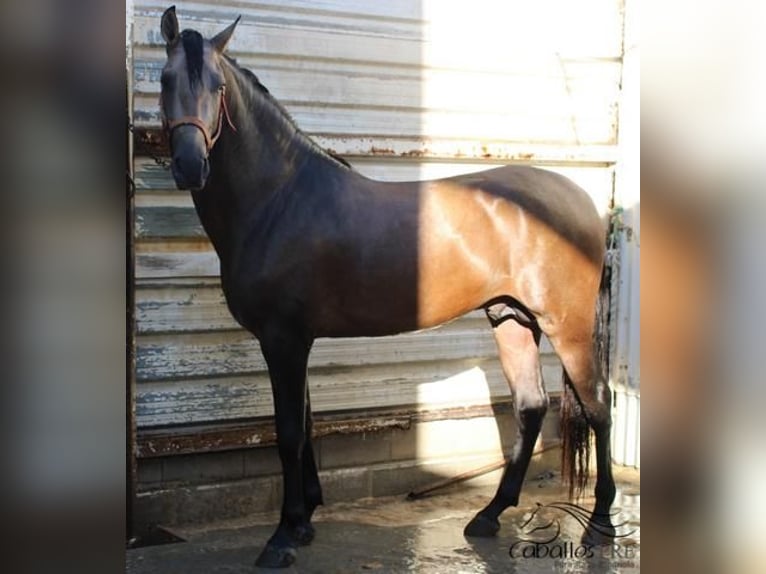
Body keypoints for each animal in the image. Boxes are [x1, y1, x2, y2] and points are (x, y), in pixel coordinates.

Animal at [160, 6, 616, 568]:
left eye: (218, 86)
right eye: (164, 80)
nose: (190, 165)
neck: (279, 198)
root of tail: (582, 200)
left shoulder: (283, 339)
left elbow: (288, 433)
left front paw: (283, 536)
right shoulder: (294, 340)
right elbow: (306, 425)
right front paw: (305, 521)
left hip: (565, 324)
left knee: (599, 406)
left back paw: (600, 524)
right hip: (511, 318)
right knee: (530, 407)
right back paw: (489, 515)